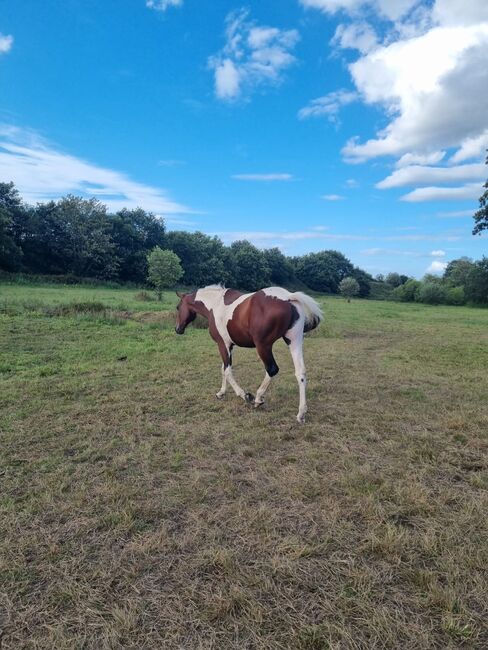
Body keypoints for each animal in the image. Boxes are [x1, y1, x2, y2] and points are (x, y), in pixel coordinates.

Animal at [173, 284, 322, 420]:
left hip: (263, 346)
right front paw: (221, 393)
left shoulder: (223, 345)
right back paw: (301, 413)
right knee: (300, 373)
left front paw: (245, 395)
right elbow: (223, 369)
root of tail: (288, 297)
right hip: (294, 341)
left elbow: (227, 371)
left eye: (178, 307)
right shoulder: (229, 346)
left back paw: (258, 398)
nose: (178, 329)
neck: (215, 304)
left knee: (272, 369)